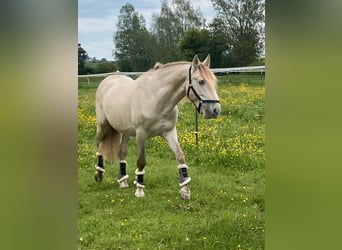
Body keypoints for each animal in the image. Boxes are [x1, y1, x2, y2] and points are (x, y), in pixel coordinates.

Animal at [94, 55, 222, 201]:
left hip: (125, 132)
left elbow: (180, 157)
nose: (215, 110)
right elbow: (141, 161)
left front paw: (185, 190)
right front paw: (139, 190)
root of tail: (107, 80)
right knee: (99, 145)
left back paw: (123, 181)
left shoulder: (170, 133)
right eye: (201, 81)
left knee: (122, 152)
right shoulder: (141, 135)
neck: (156, 98)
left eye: (213, 81)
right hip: (103, 125)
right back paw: (99, 174)